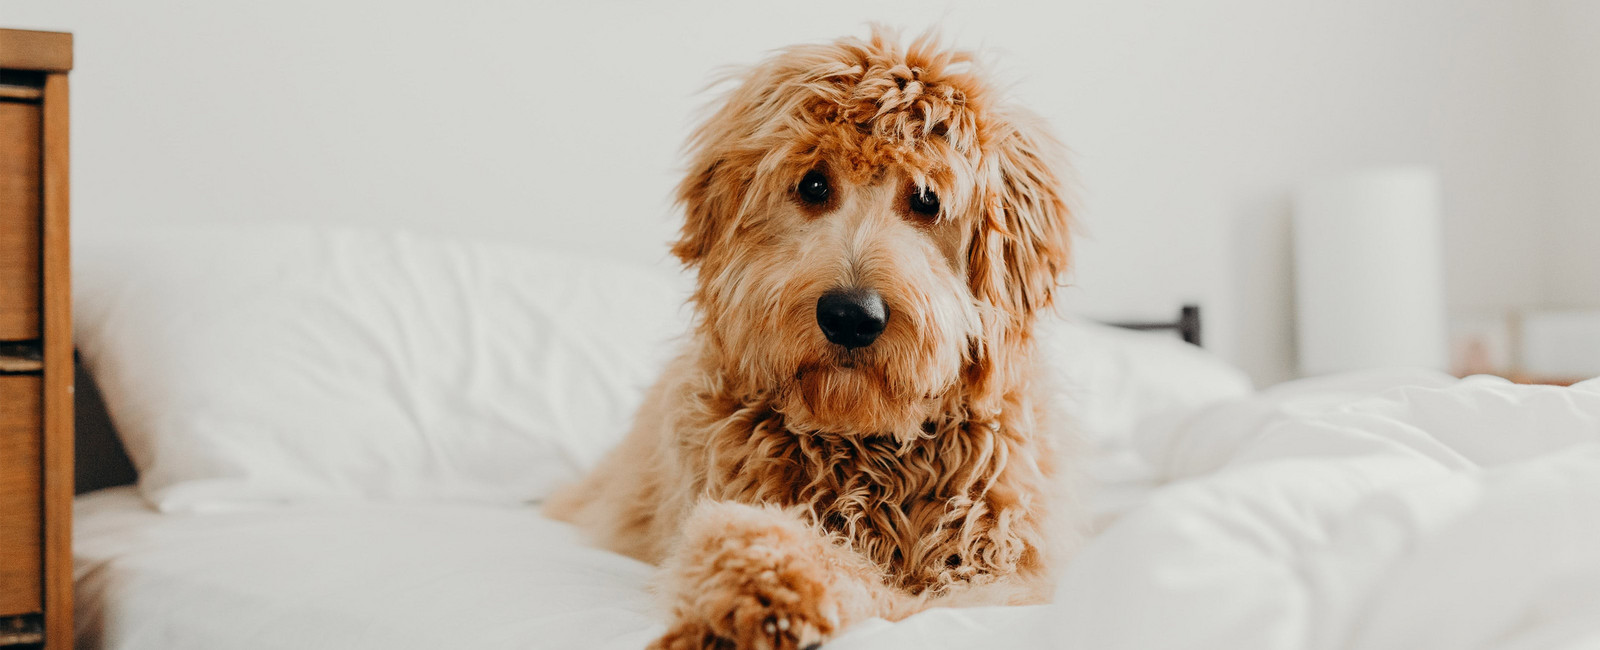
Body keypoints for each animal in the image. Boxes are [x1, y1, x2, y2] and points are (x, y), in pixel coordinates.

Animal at [544, 28, 1081, 646]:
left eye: (926, 200)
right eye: (814, 184)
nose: (850, 316)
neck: (865, 447)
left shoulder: (995, 573)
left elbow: (883, 586)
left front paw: (763, 590)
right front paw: (755, 586)